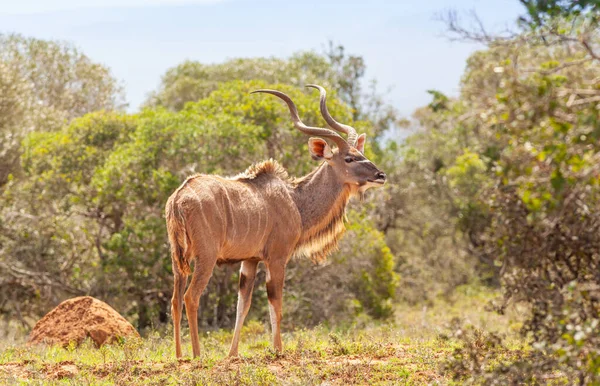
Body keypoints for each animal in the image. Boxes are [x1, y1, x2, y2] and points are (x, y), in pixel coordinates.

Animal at [166, 85, 386, 358]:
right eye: (349, 159)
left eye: (361, 153)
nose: (381, 175)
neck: (295, 200)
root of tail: (178, 199)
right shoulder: (277, 258)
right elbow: (276, 303)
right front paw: (278, 350)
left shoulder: (250, 261)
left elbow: (243, 304)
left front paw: (233, 354)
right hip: (205, 257)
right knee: (190, 297)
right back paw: (197, 355)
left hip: (178, 260)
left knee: (175, 300)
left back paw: (179, 356)